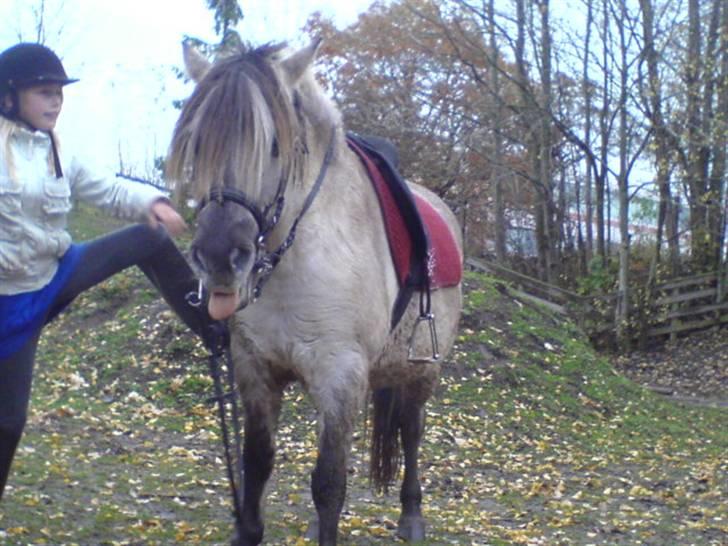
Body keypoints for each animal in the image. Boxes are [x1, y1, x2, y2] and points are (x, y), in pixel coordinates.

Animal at [166, 39, 464, 544]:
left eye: (273, 145)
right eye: (198, 142)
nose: (220, 257)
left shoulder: (339, 375)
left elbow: (328, 483)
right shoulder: (256, 368)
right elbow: (257, 463)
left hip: (423, 370)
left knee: (411, 431)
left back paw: (411, 514)